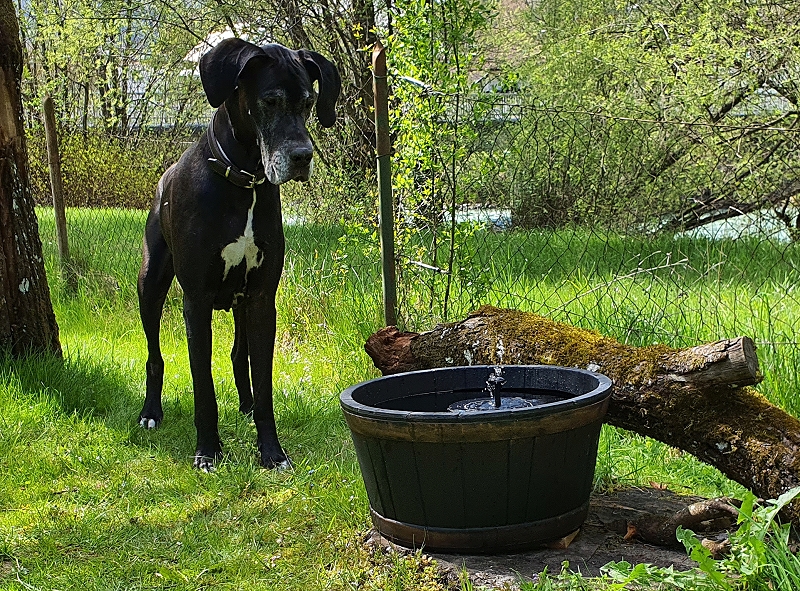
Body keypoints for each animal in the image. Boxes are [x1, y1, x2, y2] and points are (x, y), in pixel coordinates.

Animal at [137, 38, 341, 470]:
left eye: (309, 102)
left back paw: (245, 406)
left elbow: (263, 385)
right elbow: (203, 388)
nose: (303, 156)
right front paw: (207, 451)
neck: (243, 179)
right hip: (150, 284)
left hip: (242, 302)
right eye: (270, 101)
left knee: (238, 354)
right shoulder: (196, 301)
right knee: (154, 356)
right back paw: (150, 412)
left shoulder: (262, 298)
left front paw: (272, 452)